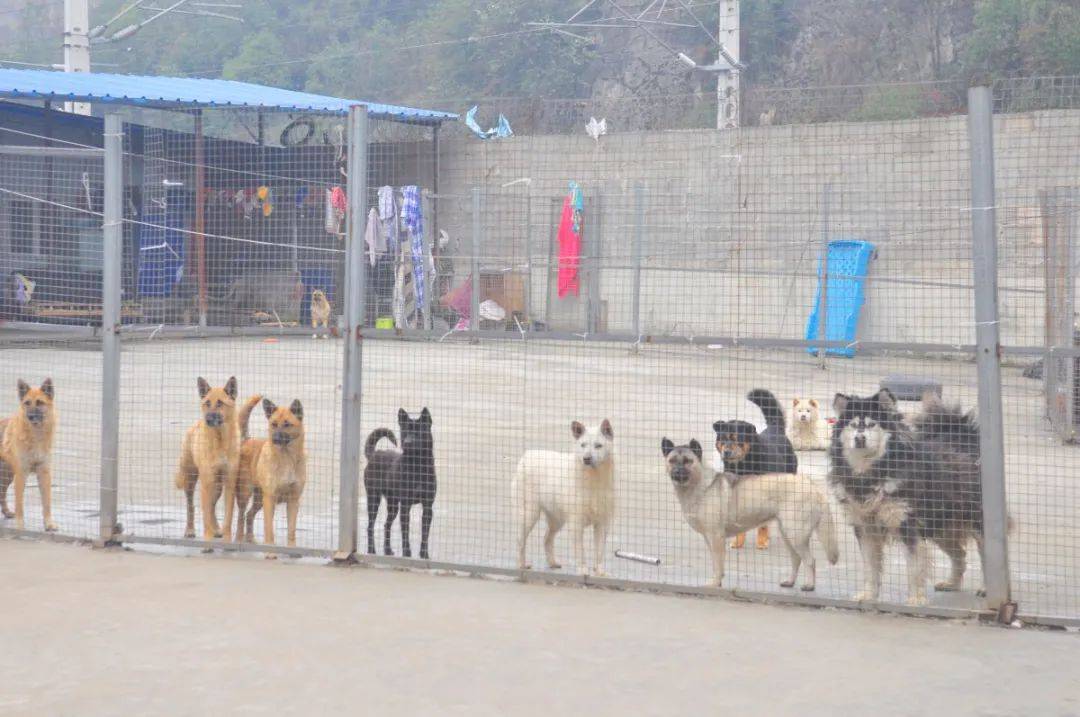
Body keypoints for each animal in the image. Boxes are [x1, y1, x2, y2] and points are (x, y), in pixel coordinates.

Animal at [0, 377, 58, 529]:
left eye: (40, 402)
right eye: (27, 403)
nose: (31, 416)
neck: (35, 435)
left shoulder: (44, 472)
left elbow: (47, 502)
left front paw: (49, 524)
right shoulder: (21, 474)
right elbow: (19, 503)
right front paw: (20, 526)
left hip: (7, 476)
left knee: (1, 492)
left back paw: (7, 512)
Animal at [365, 408, 436, 561]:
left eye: (418, 432)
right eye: (404, 431)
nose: (407, 442)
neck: (417, 466)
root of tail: (374, 454)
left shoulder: (428, 507)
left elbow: (425, 534)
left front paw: (424, 554)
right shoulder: (405, 506)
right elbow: (405, 533)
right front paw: (407, 553)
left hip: (393, 506)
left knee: (386, 525)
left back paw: (387, 550)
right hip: (373, 500)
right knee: (370, 526)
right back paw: (371, 550)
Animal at [516, 421, 617, 578]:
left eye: (598, 446)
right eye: (582, 445)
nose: (586, 459)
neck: (593, 480)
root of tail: (527, 454)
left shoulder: (602, 524)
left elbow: (599, 552)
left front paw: (600, 572)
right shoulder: (576, 524)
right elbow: (580, 551)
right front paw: (582, 571)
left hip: (557, 520)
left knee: (546, 538)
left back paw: (552, 563)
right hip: (529, 514)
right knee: (520, 541)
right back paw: (521, 565)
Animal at [656, 436, 842, 587]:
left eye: (688, 460)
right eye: (672, 460)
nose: (677, 472)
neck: (701, 485)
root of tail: (813, 487)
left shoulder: (716, 537)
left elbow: (718, 564)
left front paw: (715, 583)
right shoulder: (709, 539)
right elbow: (716, 564)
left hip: (795, 535)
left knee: (810, 561)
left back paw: (809, 586)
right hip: (788, 534)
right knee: (796, 560)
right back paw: (790, 582)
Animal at [712, 386, 799, 548]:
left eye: (737, 439)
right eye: (723, 439)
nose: (727, 452)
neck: (743, 464)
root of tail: (775, 428)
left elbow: (763, 525)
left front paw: (762, 541)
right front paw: (738, 541)